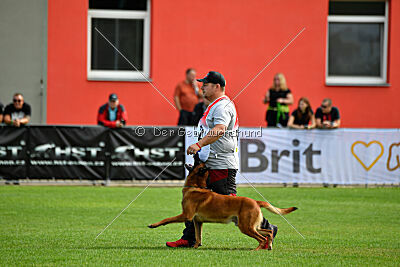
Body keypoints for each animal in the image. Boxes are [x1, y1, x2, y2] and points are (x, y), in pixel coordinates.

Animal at [149, 163, 296, 251]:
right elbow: (198, 236)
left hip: (246, 227)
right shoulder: (197, 221)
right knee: (269, 232)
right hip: (250, 226)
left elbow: (167, 219)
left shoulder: (187, 215)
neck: (196, 186)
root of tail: (255, 201)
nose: (197, 154)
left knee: (262, 238)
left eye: (197, 161)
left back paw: (257, 249)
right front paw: (196, 246)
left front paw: (154, 224)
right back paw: (269, 245)